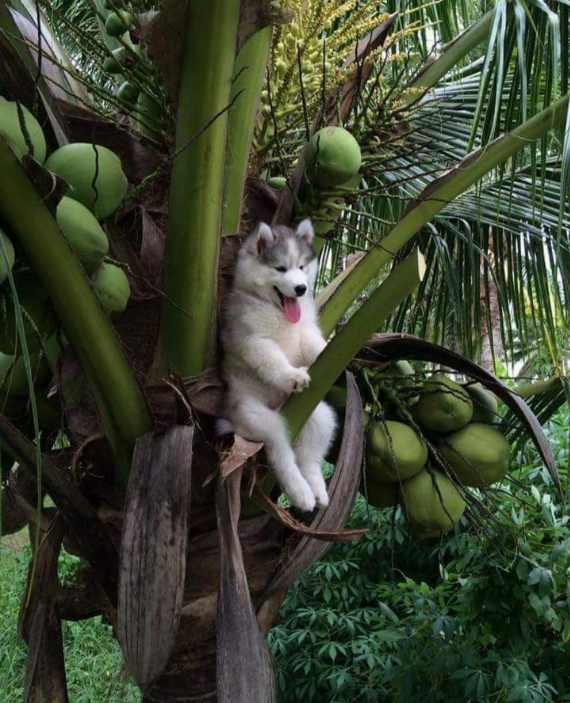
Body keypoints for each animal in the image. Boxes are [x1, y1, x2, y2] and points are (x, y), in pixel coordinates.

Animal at [216, 220, 332, 512]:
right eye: (280, 268)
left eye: (301, 267)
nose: (301, 289)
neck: (277, 311)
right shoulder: (253, 340)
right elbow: (273, 360)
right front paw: (292, 375)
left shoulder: (305, 332)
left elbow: (314, 346)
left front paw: (327, 349)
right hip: (258, 418)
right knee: (282, 454)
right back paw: (301, 492)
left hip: (319, 415)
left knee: (309, 457)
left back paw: (317, 490)